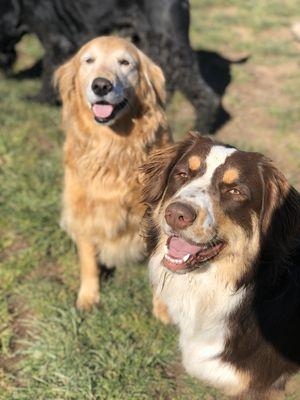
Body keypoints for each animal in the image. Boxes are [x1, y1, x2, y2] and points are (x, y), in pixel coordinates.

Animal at [0, 0, 219, 134]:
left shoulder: (56, 42)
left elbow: (48, 73)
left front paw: (39, 100)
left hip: (168, 41)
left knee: (200, 87)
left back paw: (201, 127)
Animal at [54, 36, 171, 310]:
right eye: (88, 60)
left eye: (125, 62)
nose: (101, 85)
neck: (114, 149)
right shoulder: (83, 213)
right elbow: (88, 262)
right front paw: (88, 297)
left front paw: (162, 309)